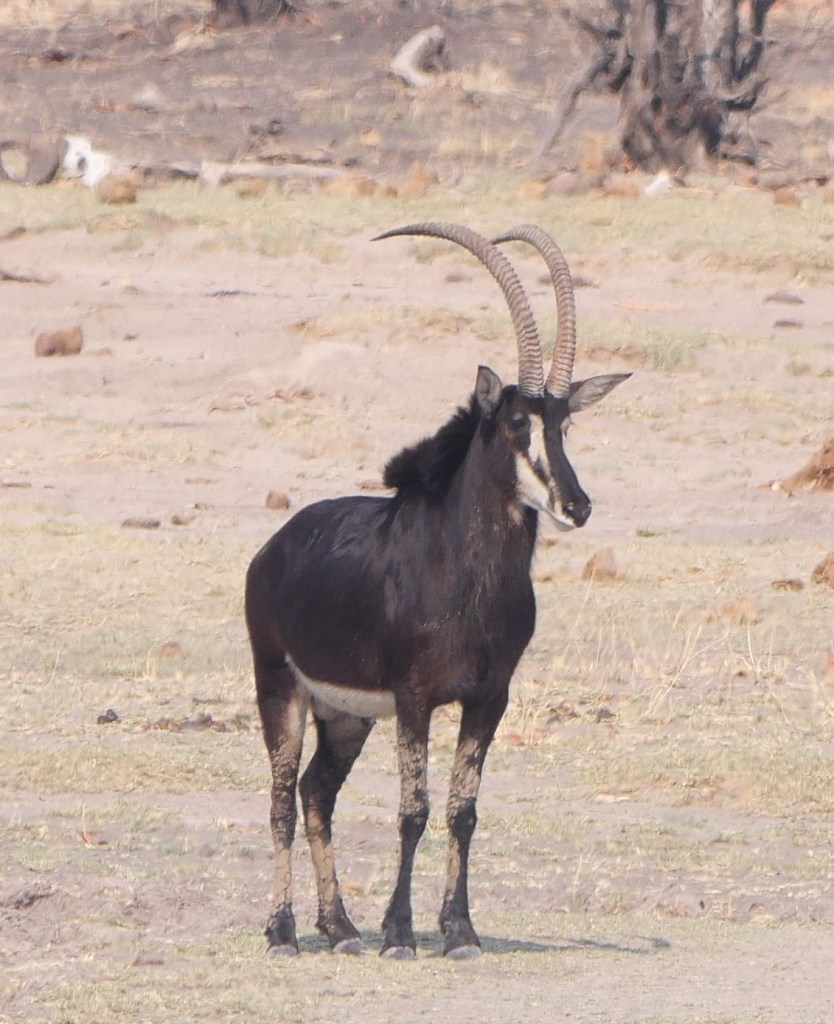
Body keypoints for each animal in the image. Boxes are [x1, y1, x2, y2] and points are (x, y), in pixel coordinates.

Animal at [245, 222, 629, 959]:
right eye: (515, 422)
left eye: (563, 423)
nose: (577, 505)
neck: (467, 580)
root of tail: (274, 549)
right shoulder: (415, 697)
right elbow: (413, 810)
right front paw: (400, 933)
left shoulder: (488, 698)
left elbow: (463, 811)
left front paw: (459, 931)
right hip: (281, 689)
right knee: (281, 799)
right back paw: (282, 932)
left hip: (347, 715)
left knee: (316, 793)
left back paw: (341, 929)